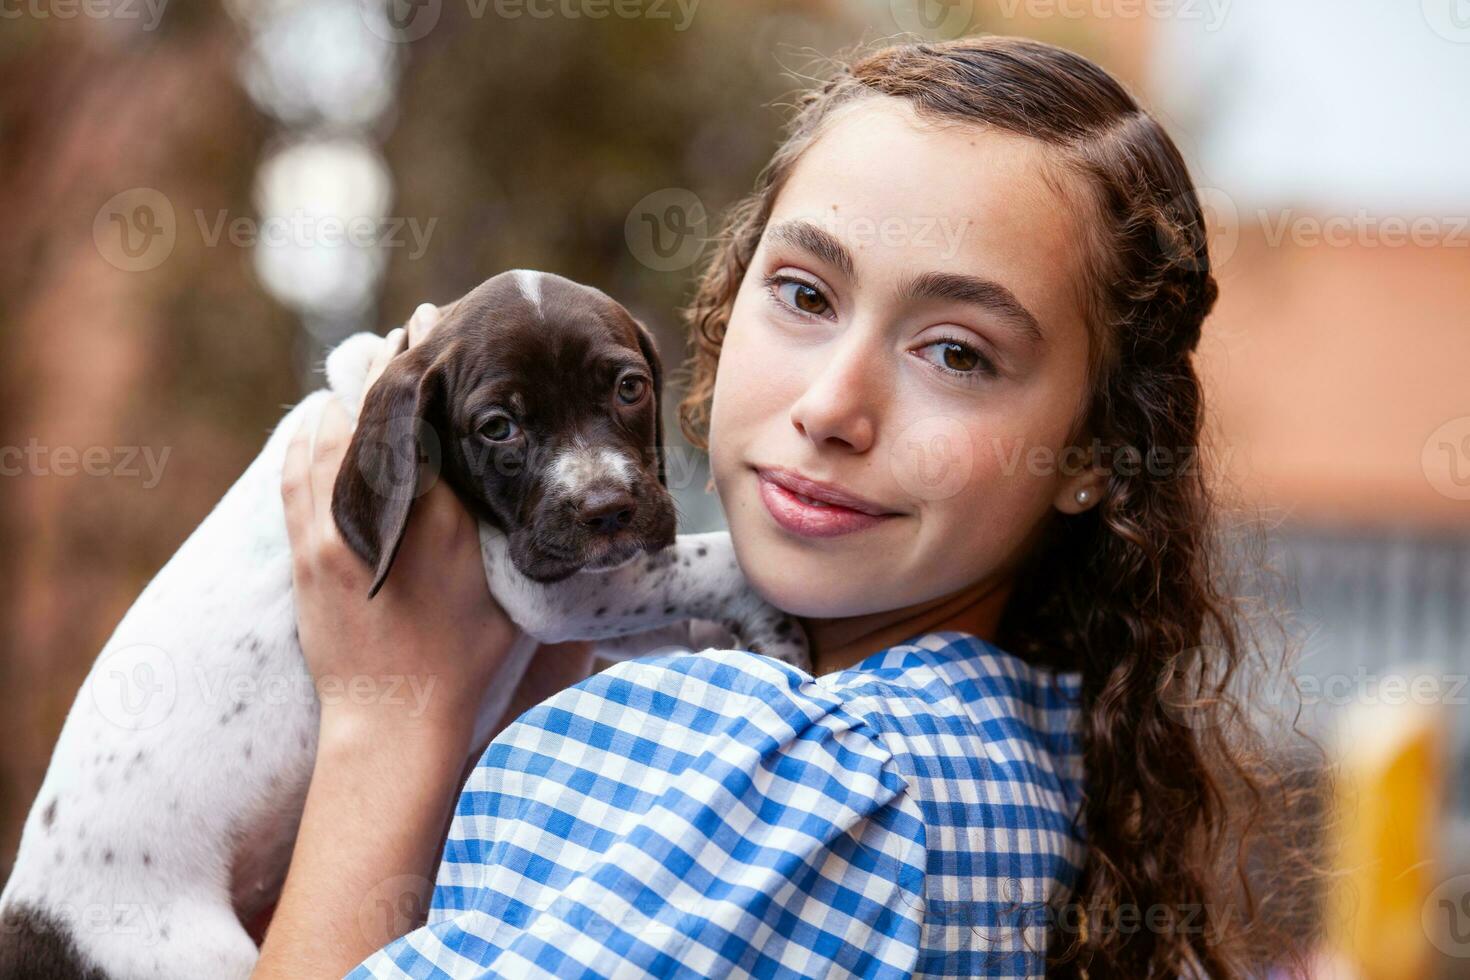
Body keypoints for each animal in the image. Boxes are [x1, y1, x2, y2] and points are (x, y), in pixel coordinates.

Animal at [0, 270, 805, 980]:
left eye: (629, 388)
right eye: (498, 428)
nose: (608, 508)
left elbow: (676, 600)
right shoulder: (540, 587)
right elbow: (705, 561)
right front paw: (772, 613)